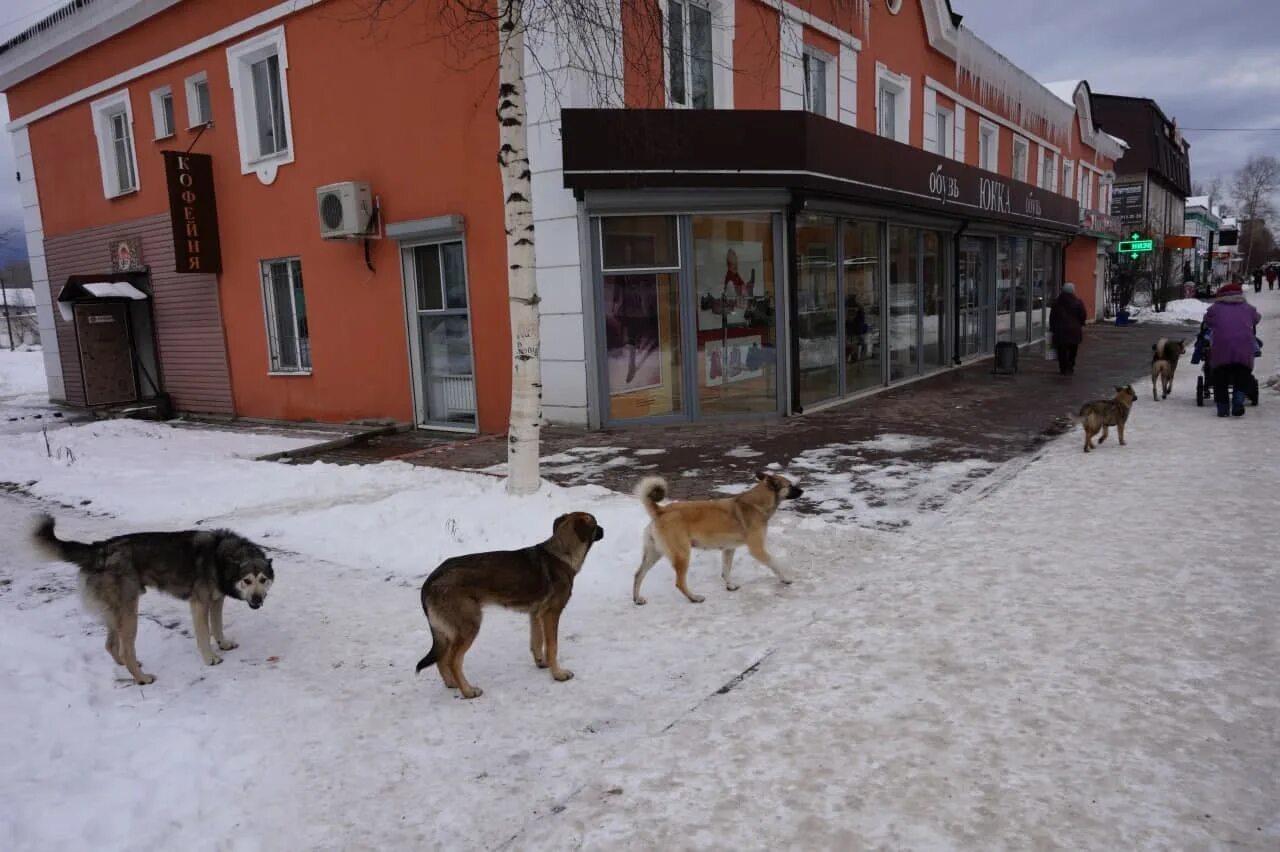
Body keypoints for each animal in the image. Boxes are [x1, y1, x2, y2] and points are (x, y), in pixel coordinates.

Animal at [414, 511, 604, 695]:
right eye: (595, 524)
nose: (604, 529)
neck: (562, 552)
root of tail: (430, 581)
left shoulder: (536, 614)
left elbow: (537, 642)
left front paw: (541, 663)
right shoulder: (551, 614)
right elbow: (552, 647)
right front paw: (558, 674)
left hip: (449, 633)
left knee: (441, 659)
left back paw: (453, 684)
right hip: (469, 626)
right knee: (453, 661)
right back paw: (468, 691)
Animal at [629, 470, 798, 603]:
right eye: (790, 485)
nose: (801, 491)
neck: (756, 504)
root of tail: (661, 510)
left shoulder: (729, 549)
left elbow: (726, 570)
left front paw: (730, 586)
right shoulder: (757, 549)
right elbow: (775, 563)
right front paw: (785, 579)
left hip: (654, 553)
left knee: (638, 574)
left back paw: (637, 599)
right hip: (682, 555)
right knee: (679, 583)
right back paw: (694, 598)